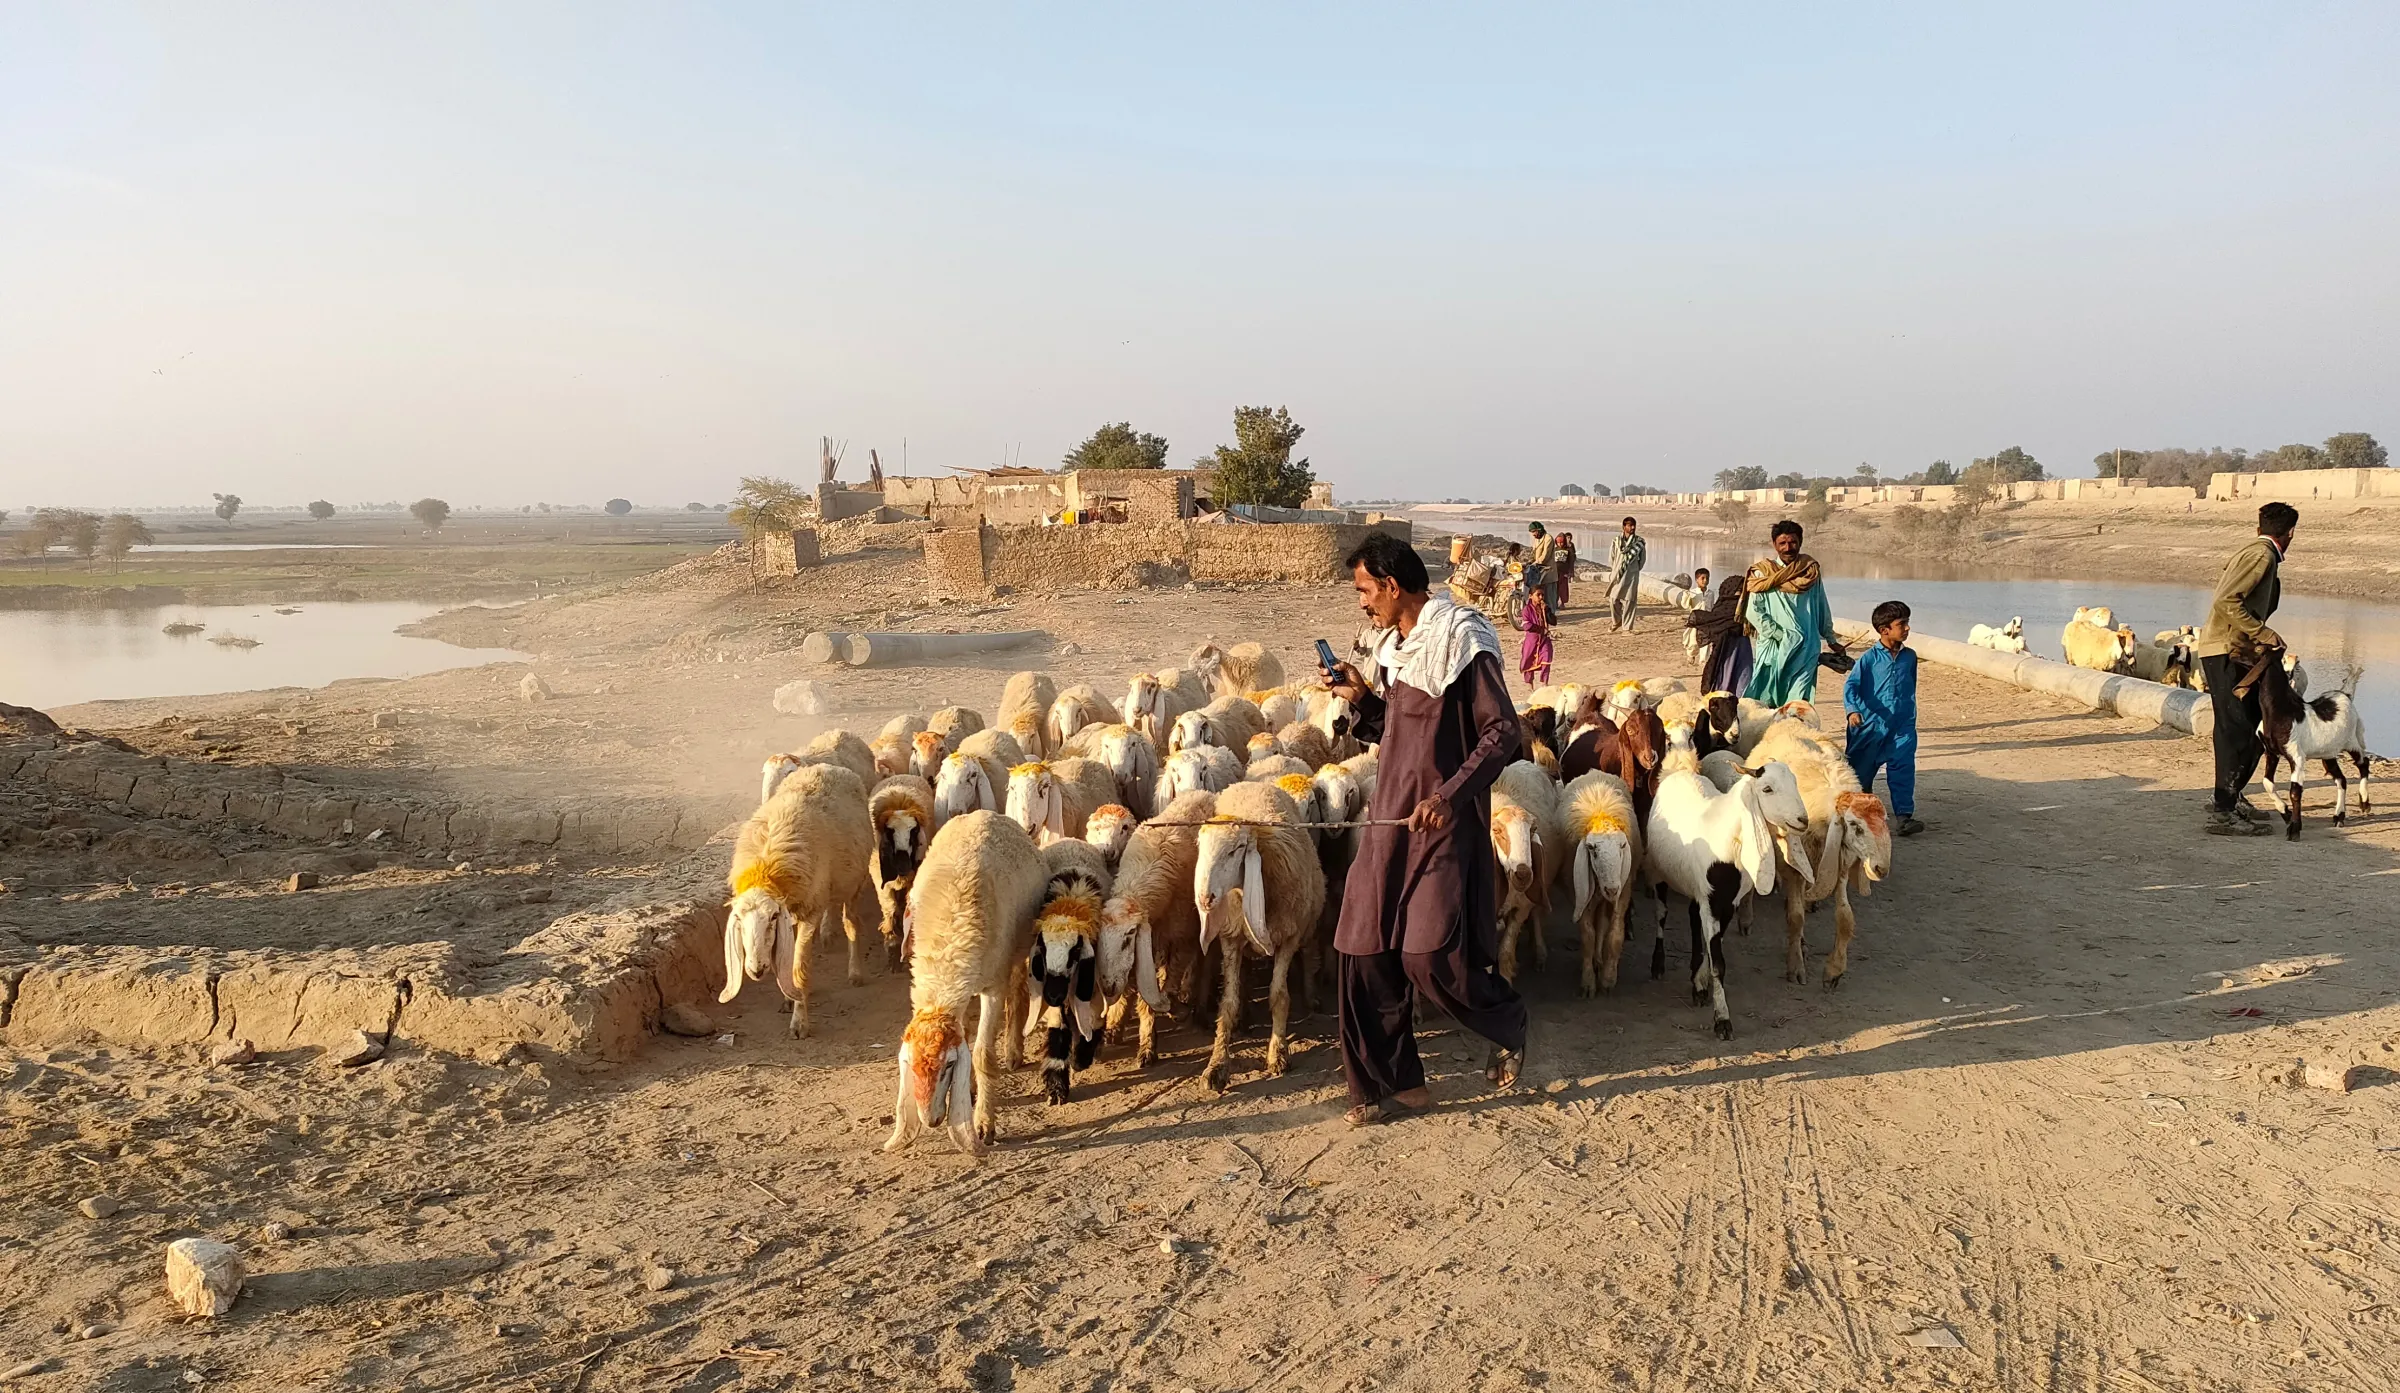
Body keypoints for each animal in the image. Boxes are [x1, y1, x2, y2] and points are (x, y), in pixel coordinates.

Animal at [729, 763, 892, 1032]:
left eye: (772, 917)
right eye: (739, 920)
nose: (755, 970)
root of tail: (828, 766)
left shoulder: (809, 912)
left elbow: (799, 967)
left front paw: (799, 1022)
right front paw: (789, 997)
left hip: (853, 883)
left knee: (851, 923)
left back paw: (855, 972)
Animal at [888, 806, 1046, 1152]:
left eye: (948, 1065)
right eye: (910, 1066)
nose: (931, 1121)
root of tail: (986, 813)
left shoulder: (993, 986)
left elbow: (983, 1054)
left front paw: (984, 1122)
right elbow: (967, 1039)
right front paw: (971, 1091)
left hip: (1018, 948)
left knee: (1017, 994)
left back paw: (1013, 1051)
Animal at [1200, 782, 1334, 1090]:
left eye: (1236, 850)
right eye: (1200, 848)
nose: (1205, 898)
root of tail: (1253, 782)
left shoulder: (1288, 938)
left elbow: (1278, 996)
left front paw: (1278, 1053)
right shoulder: (1231, 939)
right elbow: (1228, 1002)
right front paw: (1217, 1064)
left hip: (1307, 922)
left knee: (1309, 955)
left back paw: (1311, 997)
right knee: (1244, 978)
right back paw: (1245, 1017)